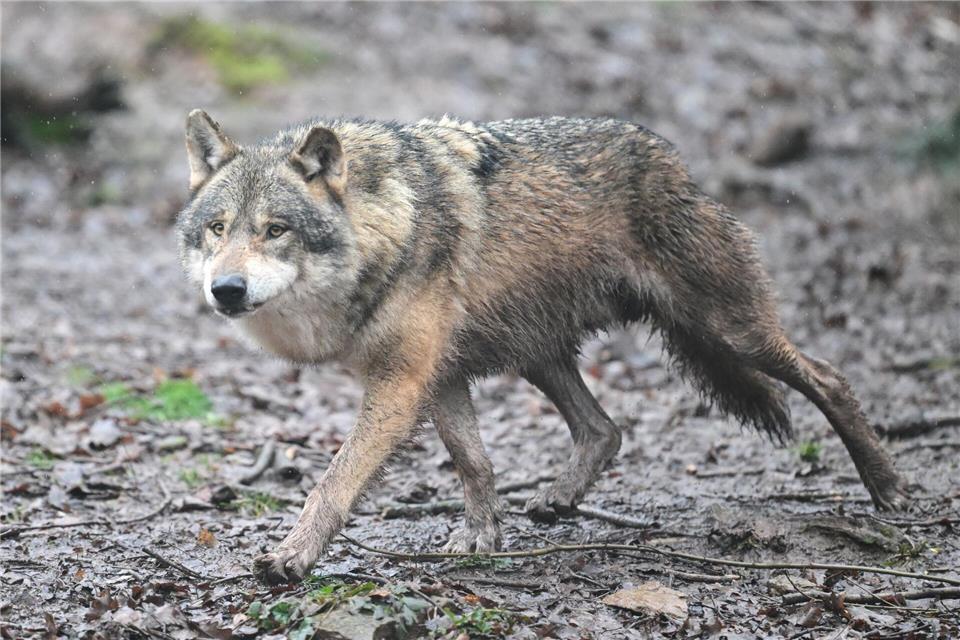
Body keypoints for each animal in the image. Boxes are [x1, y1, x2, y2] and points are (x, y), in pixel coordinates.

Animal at [176, 110, 907, 585]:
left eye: (275, 230)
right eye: (217, 229)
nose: (226, 290)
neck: (385, 225)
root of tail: (674, 160)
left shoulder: (401, 382)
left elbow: (333, 482)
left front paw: (291, 557)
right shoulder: (438, 377)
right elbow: (474, 463)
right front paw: (481, 537)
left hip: (730, 331)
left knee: (829, 377)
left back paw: (888, 489)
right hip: (538, 354)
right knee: (605, 429)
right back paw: (558, 499)